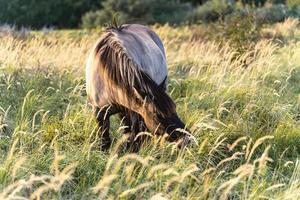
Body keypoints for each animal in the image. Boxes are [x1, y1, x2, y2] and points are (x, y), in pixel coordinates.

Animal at [85, 23, 192, 151]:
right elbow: (105, 141)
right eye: (158, 116)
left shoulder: (134, 112)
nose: (187, 139)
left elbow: (133, 140)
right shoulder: (99, 113)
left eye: (175, 108)